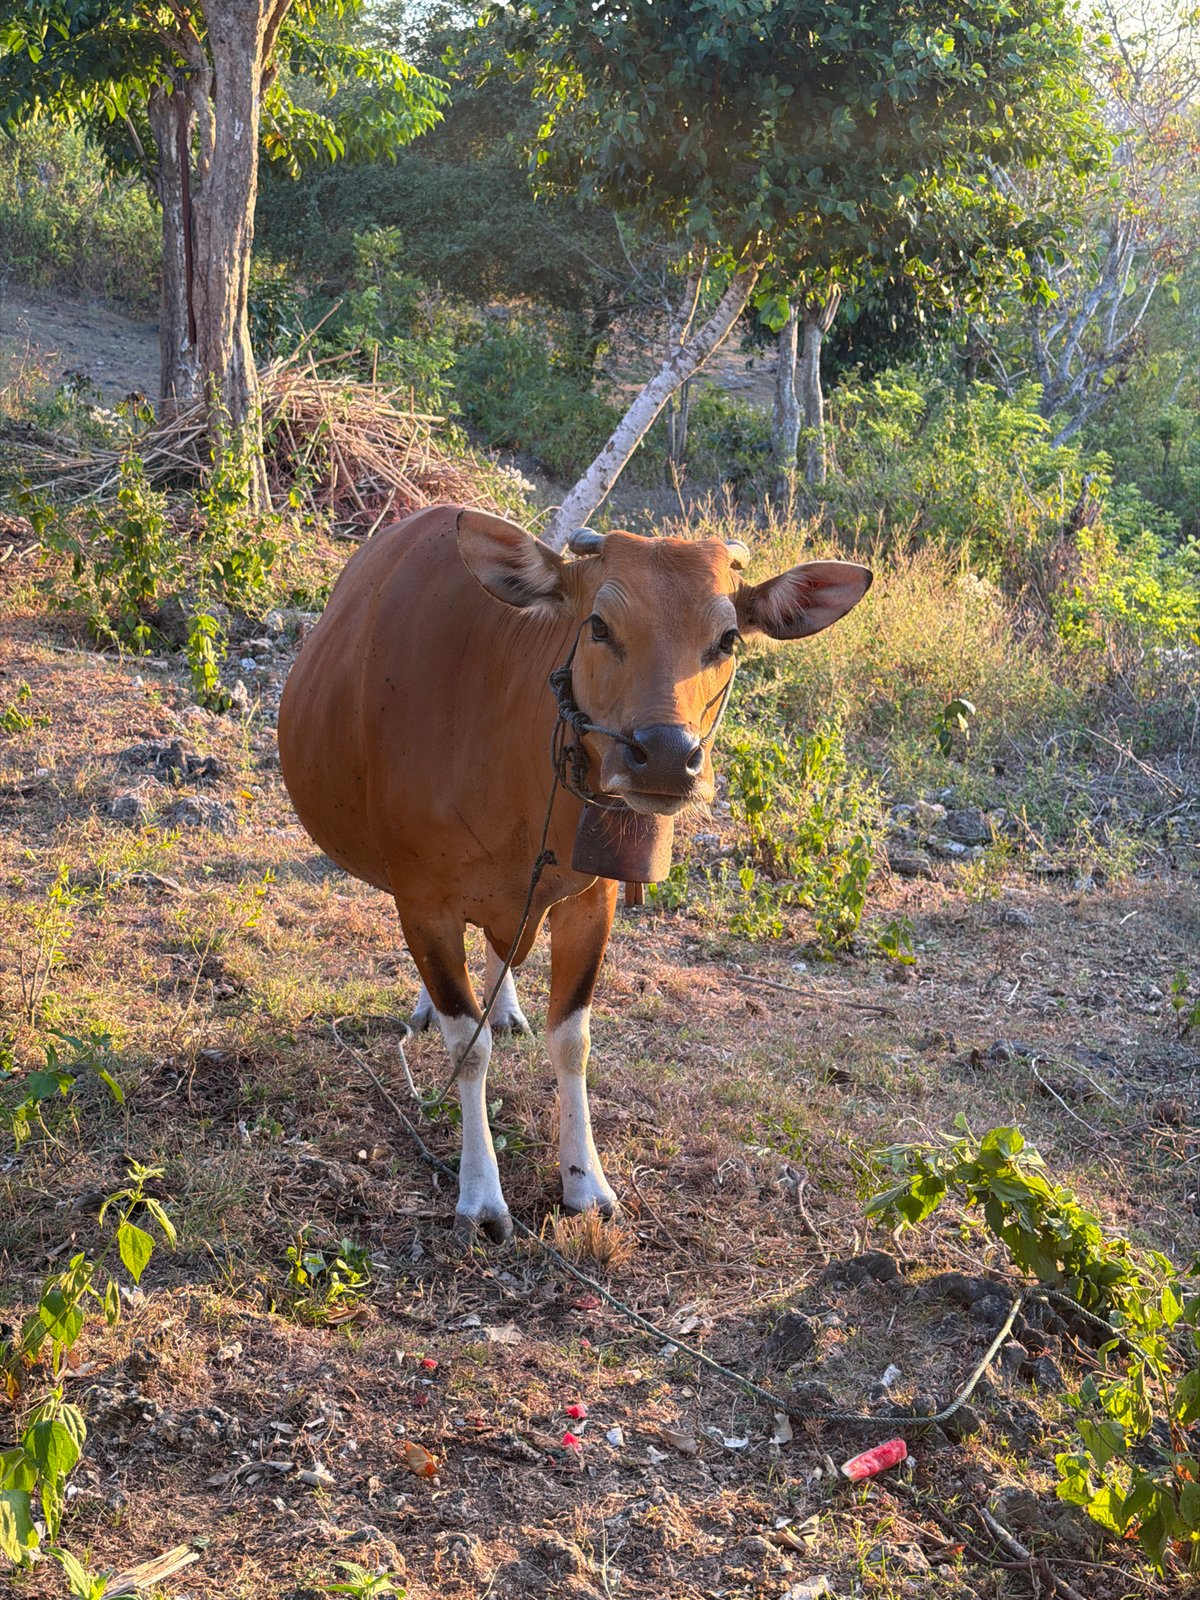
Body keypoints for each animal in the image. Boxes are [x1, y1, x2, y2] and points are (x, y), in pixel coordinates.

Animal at [278, 505, 871, 1243]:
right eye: (598, 625)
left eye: (728, 638)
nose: (666, 757)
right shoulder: (423, 900)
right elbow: (467, 1048)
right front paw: (480, 1196)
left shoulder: (595, 899)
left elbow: (574, 1041)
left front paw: (586, 1182)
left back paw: (503, 1004)